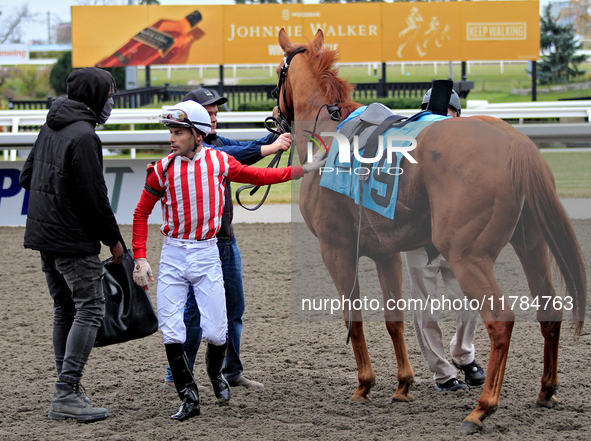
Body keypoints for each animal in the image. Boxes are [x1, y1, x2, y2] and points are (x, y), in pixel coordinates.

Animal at [276, 30, 588, 434]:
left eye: (279, 73)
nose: (275, 119)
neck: (330, 133)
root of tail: (516, 144)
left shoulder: (336, 250)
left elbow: (353, 319)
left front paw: (364, 385)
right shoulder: (386, 253)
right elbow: (394, 319)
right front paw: (402, 385)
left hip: (468, 257)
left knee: (500, 320)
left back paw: (482, 408)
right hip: (531, 243)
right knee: (549, 310)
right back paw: (545, 391)